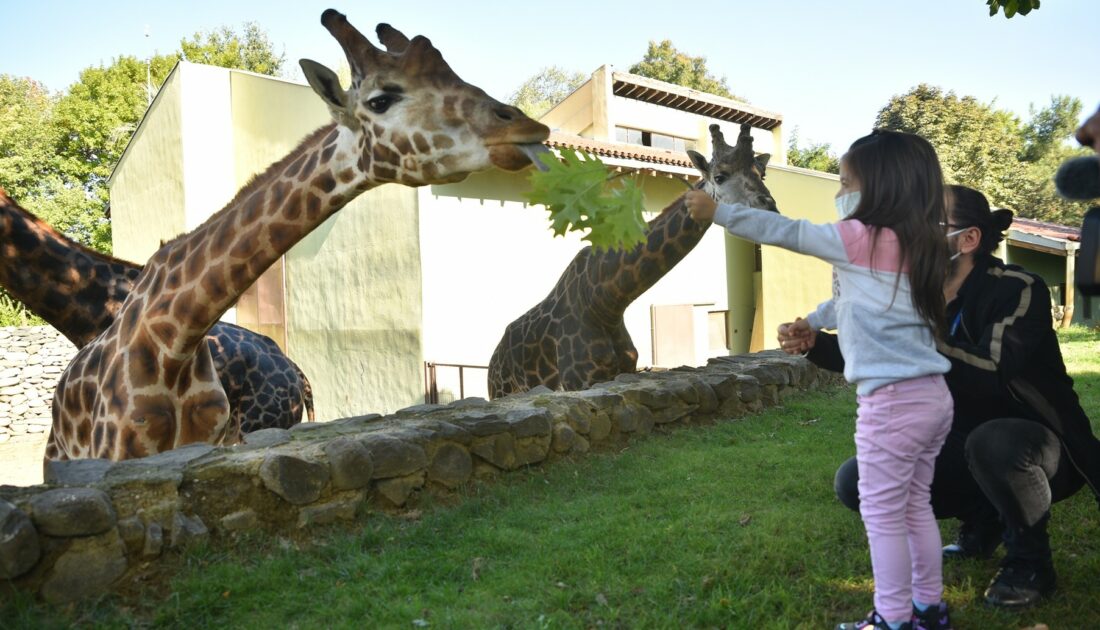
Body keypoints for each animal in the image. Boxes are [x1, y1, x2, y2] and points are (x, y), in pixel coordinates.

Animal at [490, 122, 774, 395]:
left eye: (761, 173)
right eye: (720, 176)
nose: (770, 208)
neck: (606, 302)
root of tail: (494, 358)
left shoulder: (622, 370)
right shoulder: (578, 380)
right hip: (501, 390)